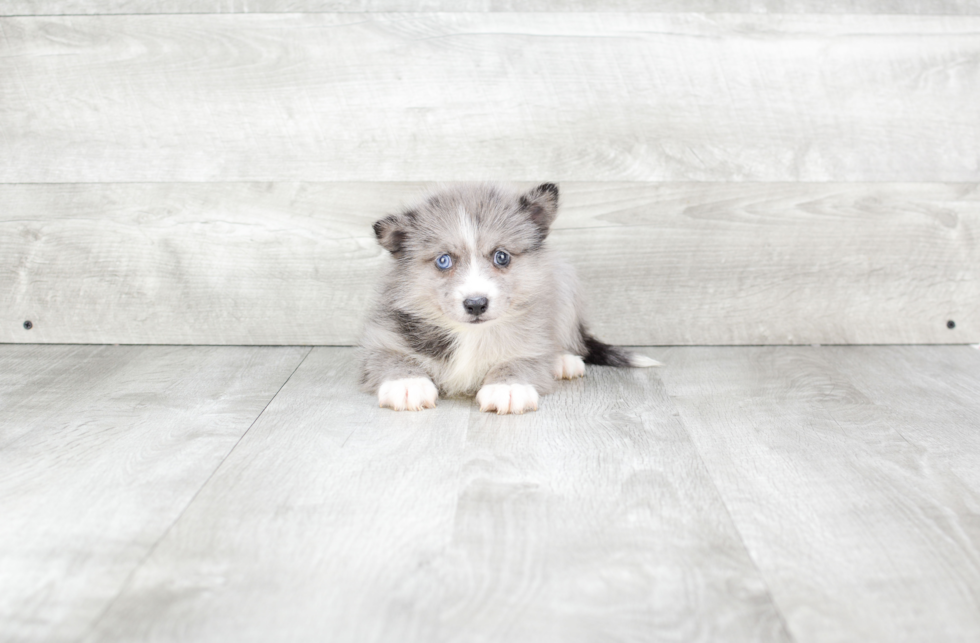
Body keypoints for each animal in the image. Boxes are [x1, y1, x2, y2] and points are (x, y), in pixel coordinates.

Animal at [360, 182, 660, 412]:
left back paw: (563, 360)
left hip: (564, 285)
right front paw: (407, 383)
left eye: (501, 256)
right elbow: (394, 358)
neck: (471, 336)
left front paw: (508, 387)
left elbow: (520, 360)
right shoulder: (380, 339)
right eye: (443, 260)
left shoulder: (532, 339)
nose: (476, 304)